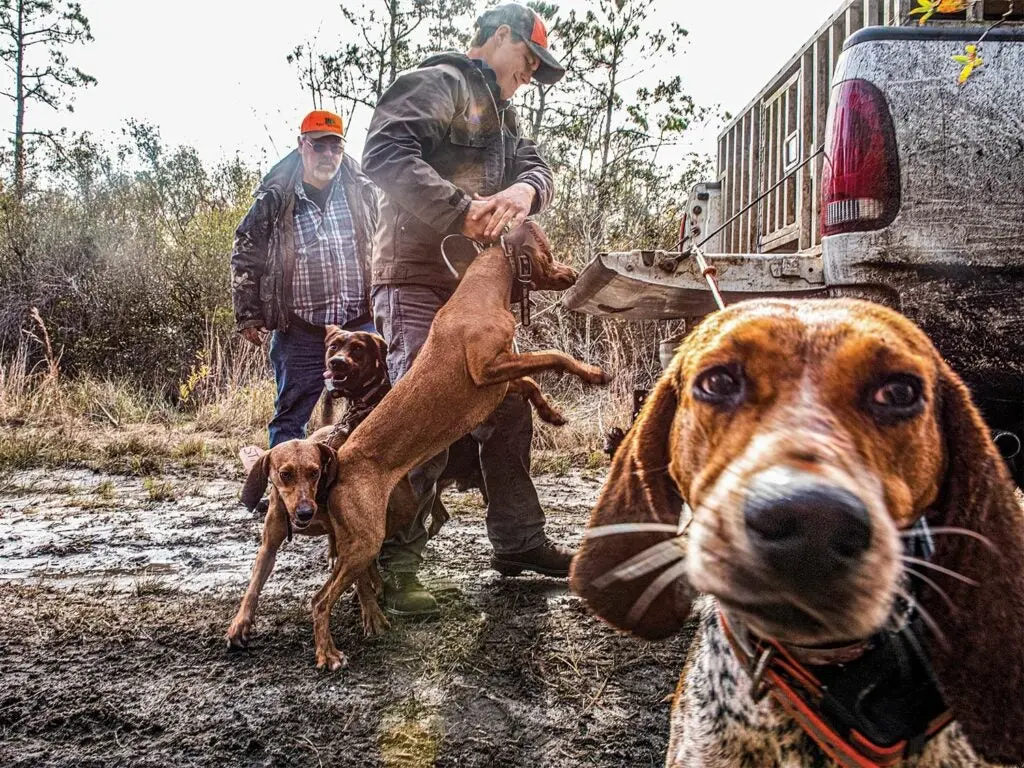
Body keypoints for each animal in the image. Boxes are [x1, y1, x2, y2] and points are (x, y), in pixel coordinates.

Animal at [303, 221, 606, 671]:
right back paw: (328, 651)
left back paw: (375, 611)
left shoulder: (498, 381)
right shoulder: (487, 369)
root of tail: (340, 456)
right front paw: (591, 373)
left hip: (382, 521)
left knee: (359, 575)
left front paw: (551, 413)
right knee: (321, 598)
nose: (572, 274)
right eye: (549, 252)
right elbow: (553, 355)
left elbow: (530, 382)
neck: (478, 294)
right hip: (365, 537)